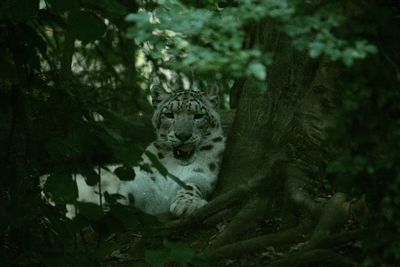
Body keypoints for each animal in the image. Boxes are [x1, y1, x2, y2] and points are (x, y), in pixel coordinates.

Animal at [43, 85, 227, 219]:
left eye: (198, 115)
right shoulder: (138, 185)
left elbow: (191, 185)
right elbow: (123, 197)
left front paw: (187, 205)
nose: (183, 135)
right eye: (169, 114)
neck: (173, 165)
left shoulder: (202, 174)